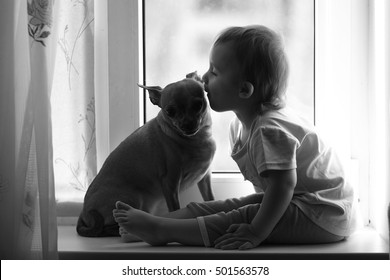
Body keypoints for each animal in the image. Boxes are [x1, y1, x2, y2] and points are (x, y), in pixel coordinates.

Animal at [76, 71, 216, 236]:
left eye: (198, 105)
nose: (187, 124)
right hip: (132, 198)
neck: (197, 139)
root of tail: (84, 213)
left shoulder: (205, 179)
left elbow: (210, 199)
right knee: (110, 225)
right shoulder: (170, 183)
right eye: (170, 112)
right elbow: (175, 209)